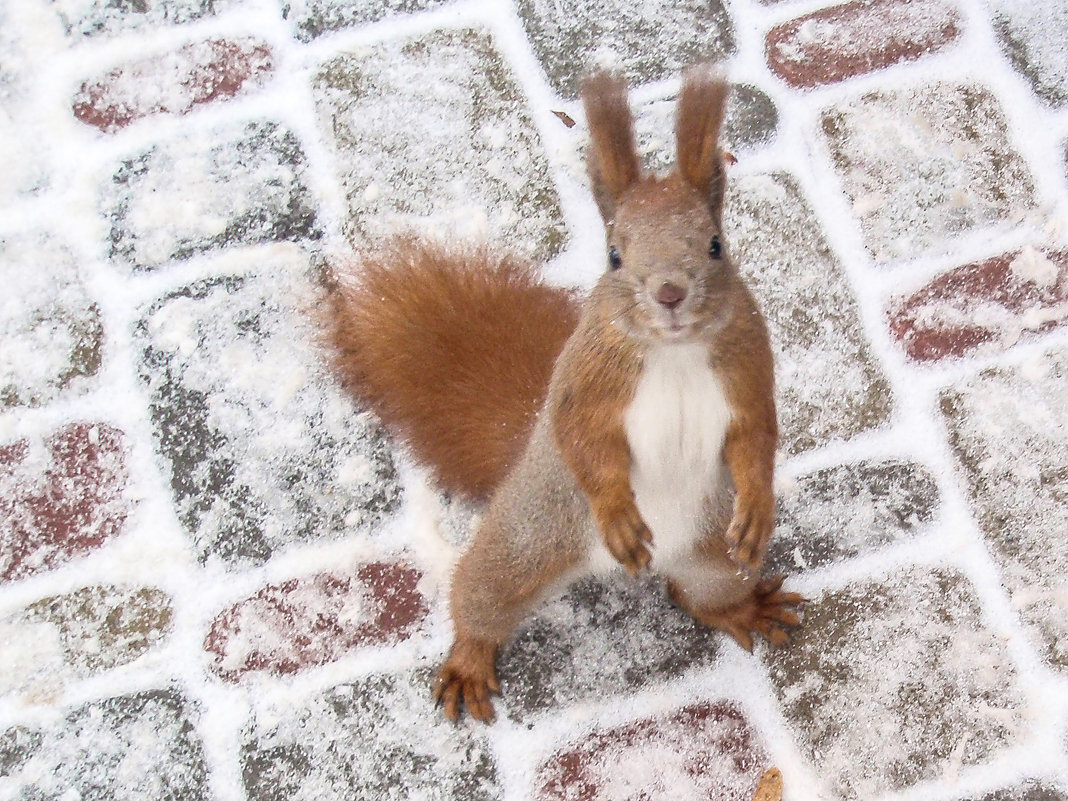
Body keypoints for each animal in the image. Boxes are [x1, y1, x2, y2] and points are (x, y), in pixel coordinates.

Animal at [324, 65, 803, 726]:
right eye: (614, 254)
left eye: (715, 245)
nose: (670, 293)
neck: (674, 353)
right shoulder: (586, 386)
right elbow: (584, 442)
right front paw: (619, 516)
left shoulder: (749, 370)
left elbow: (756, 438)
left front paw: (757, 506)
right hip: (527, 538)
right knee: (480, 596)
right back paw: (470, 658)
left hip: (714, 559)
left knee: (696, 595)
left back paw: (742, 608)